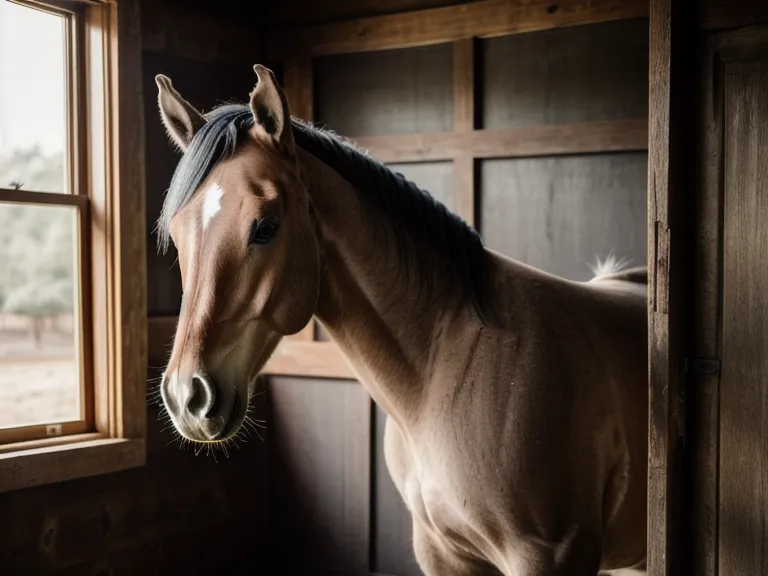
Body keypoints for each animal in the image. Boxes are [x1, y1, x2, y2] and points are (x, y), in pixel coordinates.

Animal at [153, 65, 648, 575]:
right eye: (178, 234)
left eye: (266, 227)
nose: (188, 397)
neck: (444, 369)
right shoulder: (442, 552)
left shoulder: (550, 554)